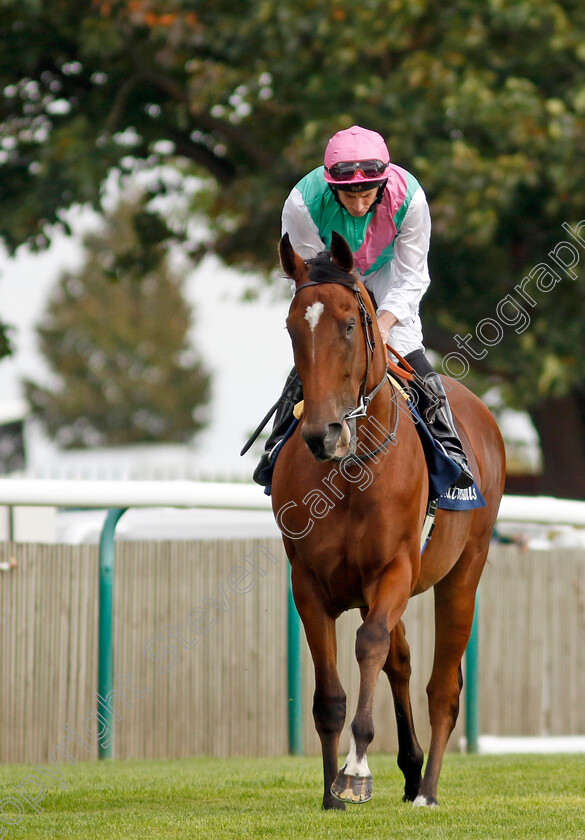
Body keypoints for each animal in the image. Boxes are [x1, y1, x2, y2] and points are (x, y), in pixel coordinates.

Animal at [272, 233, 504, 812]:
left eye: (349, 325)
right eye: (291, 327)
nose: (323, 433)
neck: (352, 472)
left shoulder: (395, 569)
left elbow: (369, 645)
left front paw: (356, 770)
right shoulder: (308, 582)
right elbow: (330, 695)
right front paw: (332, 793)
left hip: (464, 571)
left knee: (442, 687)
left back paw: (428, 790)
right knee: (400, 662)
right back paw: (410, 770)